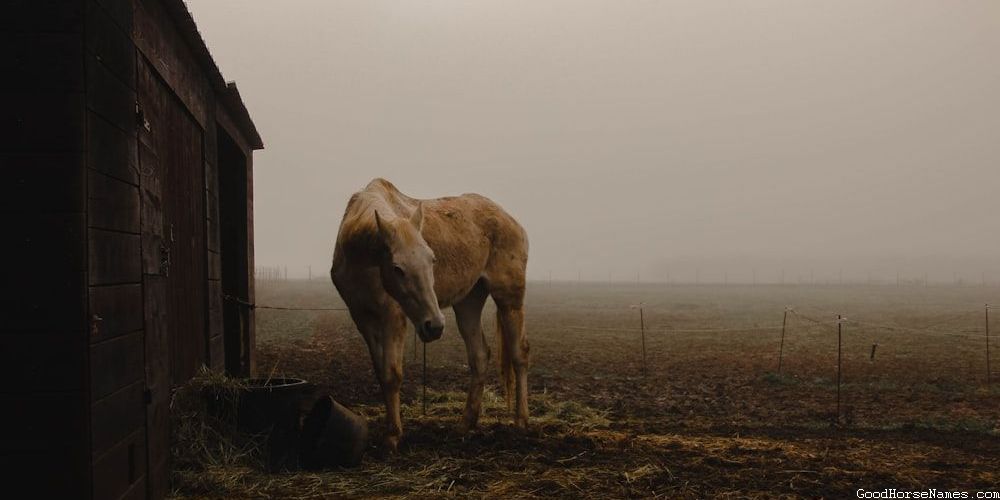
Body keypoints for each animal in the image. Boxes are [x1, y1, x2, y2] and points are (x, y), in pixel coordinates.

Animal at [330, 178, 530, 451]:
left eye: (432, 260)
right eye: (397, 268)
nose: (434, 326)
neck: (361, 259)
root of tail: (511, 220)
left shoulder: (393, 318)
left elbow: (392, 374)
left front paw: (393, 436)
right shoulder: (363, 319)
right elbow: (381, 373)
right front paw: (389, 430)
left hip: (509, 299)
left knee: (520, 354)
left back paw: (521, 420)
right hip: (468, 301)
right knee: (479, 356)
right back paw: (465, 424)